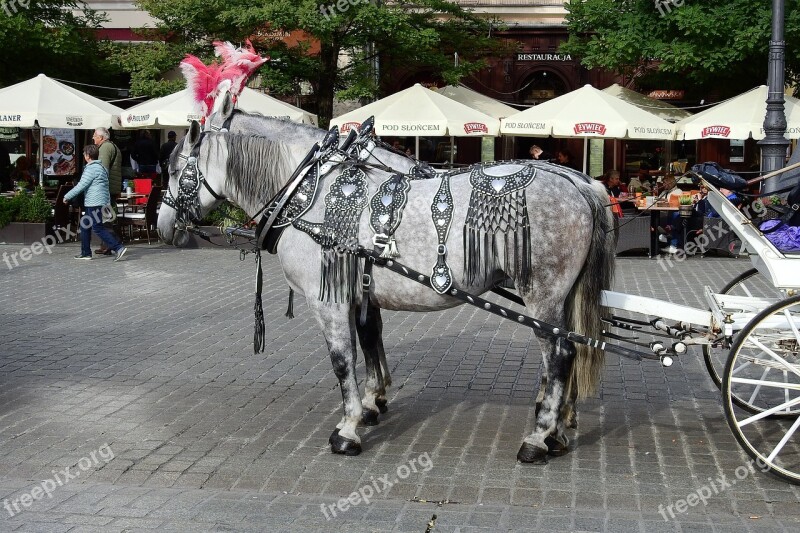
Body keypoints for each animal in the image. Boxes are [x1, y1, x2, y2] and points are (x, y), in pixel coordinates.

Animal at [158, 120, 620, 462]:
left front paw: (348, 429)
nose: (162, 226)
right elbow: (369, 343)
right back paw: (556, 431)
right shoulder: (360, 293)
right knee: (567, 353)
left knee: (560, 356)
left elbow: (343, 360)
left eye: (175, 169)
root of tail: (583, 185)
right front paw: (371, 403)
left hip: (541, 294)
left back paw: (539, 438)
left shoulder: (329, 300)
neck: (311, 194)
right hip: (558, 297)